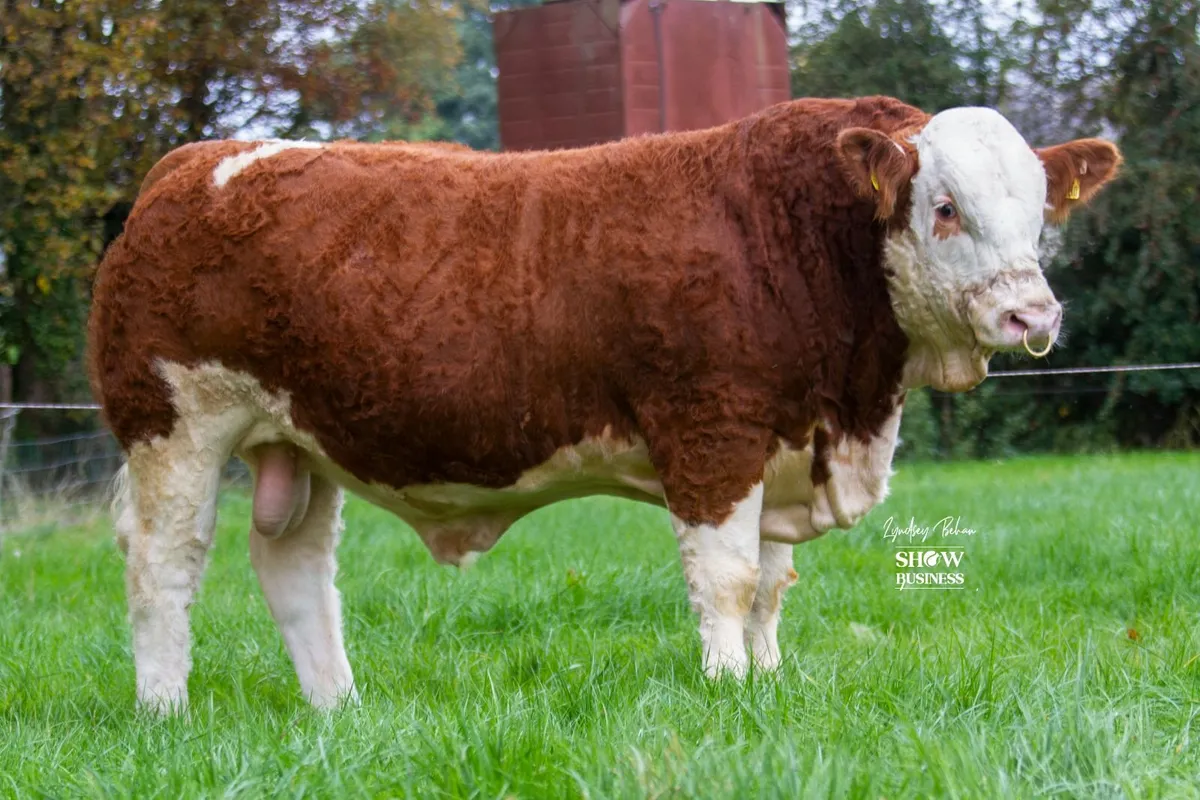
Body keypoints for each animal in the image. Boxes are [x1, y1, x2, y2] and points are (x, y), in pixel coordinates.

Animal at [87, 96, 1121, 713]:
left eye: (1041, 209)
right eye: (945, 207)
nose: (1031, 312)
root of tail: (197, 161)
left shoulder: (784, 439)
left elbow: (772, 584)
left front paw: (769, 679)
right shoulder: (712, 433)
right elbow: (728, 578)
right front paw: (727, 688)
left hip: (299, 439)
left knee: (295, 569)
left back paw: (338, 709)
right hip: (174, 426)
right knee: (163, 566)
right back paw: (165, 707)